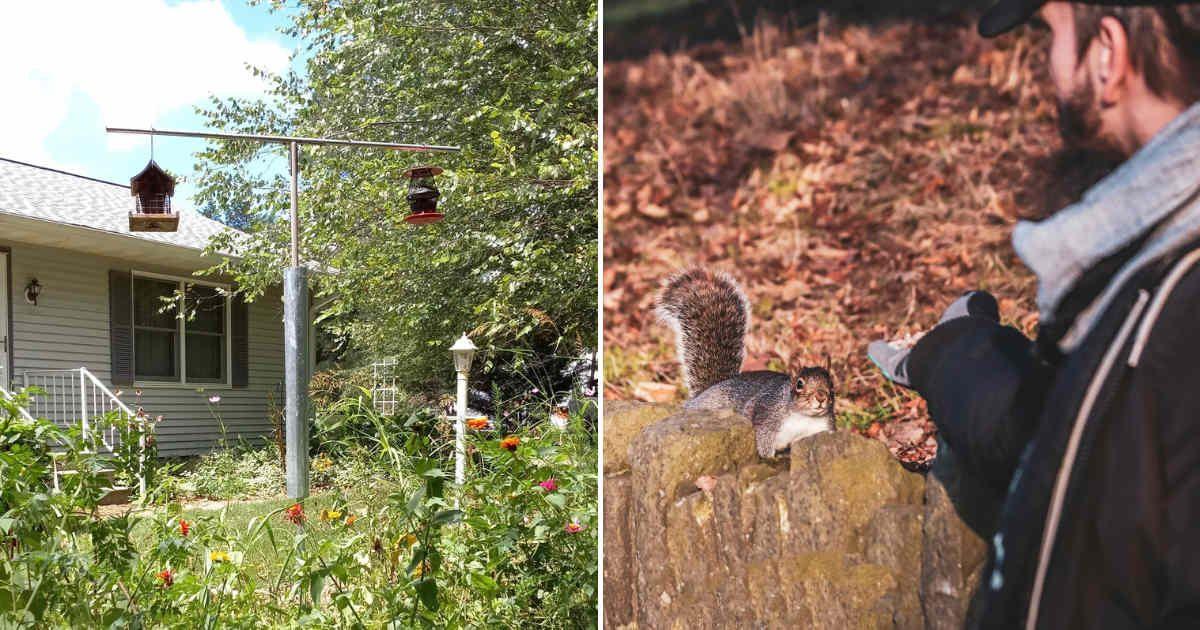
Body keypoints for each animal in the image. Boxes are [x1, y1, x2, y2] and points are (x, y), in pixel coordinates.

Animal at [655, 268, 836, 457]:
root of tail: (705, 392)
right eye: (799, 384)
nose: (821, 396)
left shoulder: (822, 430)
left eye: (831, 382)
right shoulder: (767, 419)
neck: (805, 418)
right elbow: (764, 446)